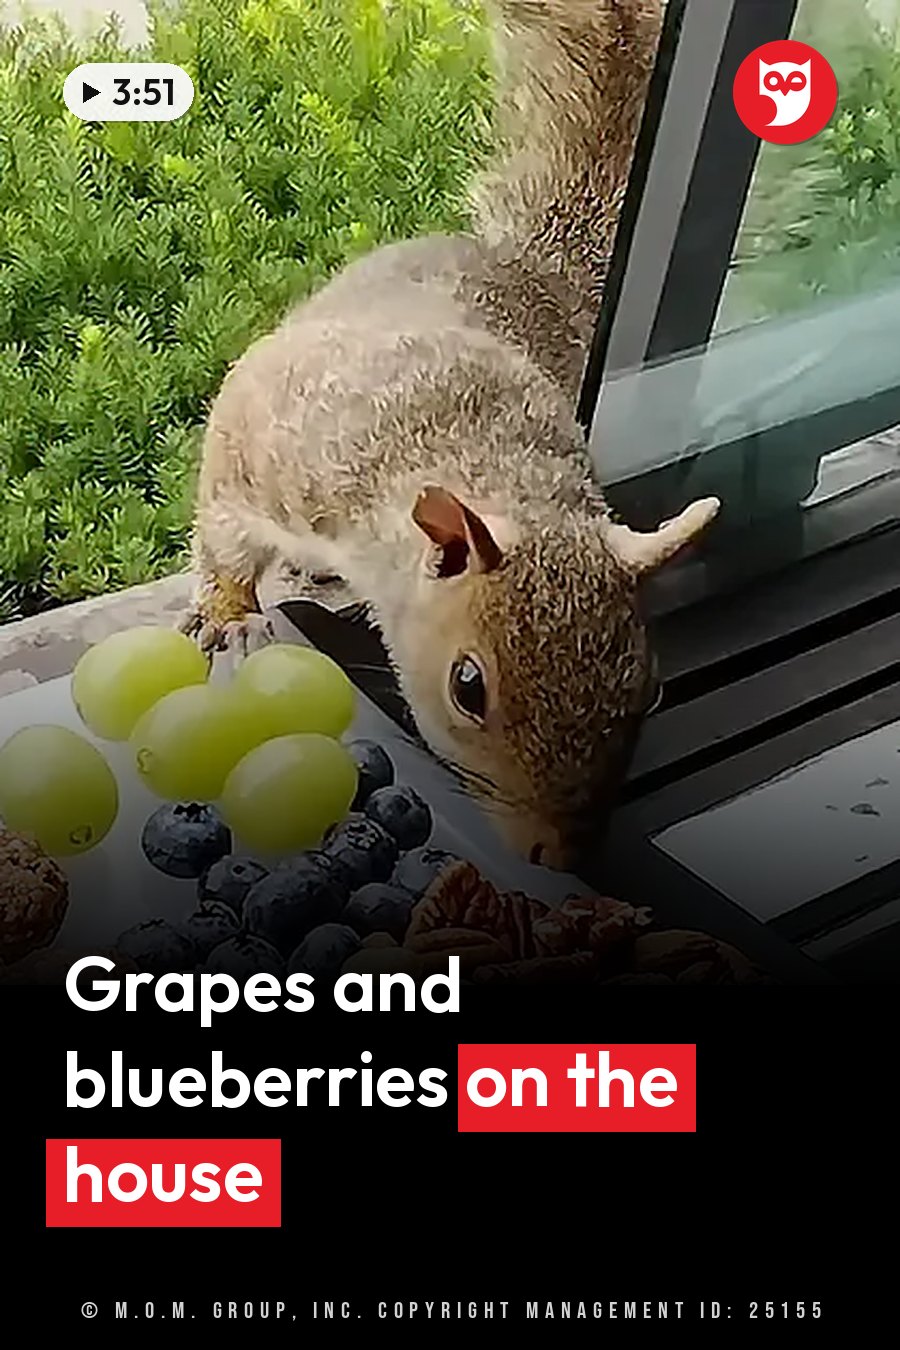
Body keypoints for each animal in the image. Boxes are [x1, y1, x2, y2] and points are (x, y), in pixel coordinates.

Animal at [181, 0, 719, 870]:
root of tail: (521, 266)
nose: (561, 857)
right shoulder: (268, 451)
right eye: (468, 687)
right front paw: (229, 613)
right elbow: (225, 532)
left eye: (652, 686)